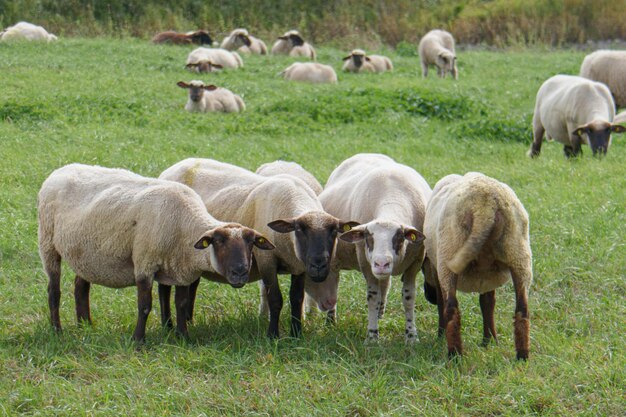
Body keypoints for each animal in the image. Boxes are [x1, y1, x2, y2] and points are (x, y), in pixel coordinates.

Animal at [38, 163, 272, 342]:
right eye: (219, 242)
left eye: (251, 243)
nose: (240, 272)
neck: (185, 226)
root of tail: (60, 170)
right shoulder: (144, 263)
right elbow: (144, 306)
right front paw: (138, 340)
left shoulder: (182, 269)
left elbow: (182, 304)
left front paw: (183, 337)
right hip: (47, 243)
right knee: (53, 290)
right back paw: (57, 330)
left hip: (86, 254)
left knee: (81, 287)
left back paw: (85, 325)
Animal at [158, 158, 358, 336]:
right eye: (300, 230)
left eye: (334, 232)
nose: (318, 265)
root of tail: (173, 167)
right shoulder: (266, 261)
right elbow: (275, 299)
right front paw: (273, 335)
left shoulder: (299, 266)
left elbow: (297, 299)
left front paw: (296, 334)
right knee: (165, 287)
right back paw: (168, 326)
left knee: (192, 284)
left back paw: (189, 321)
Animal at [314, 153, 432, 342]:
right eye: (368, 237)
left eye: (399, 236)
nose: (381, 264)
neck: (392, 198)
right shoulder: (365, 262)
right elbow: (372, 298)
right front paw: (372, 336)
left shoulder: (415, 263)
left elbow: (409, 298)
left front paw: (411, 336)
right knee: (333, 286)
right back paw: (331, 321)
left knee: (385, 284)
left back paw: (380, 314)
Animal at [420, 171, 532, 360]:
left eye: (422, 269)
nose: (429, 297)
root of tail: (485, 206)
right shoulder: (488, 276)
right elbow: (487, 303)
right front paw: (490, 342)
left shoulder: (437, 269)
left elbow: (443, 302)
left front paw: (440, 335)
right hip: (519, 256)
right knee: (522, 309)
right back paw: (522, 356)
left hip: (448, 255)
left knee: (451, 308)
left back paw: (454, 355)